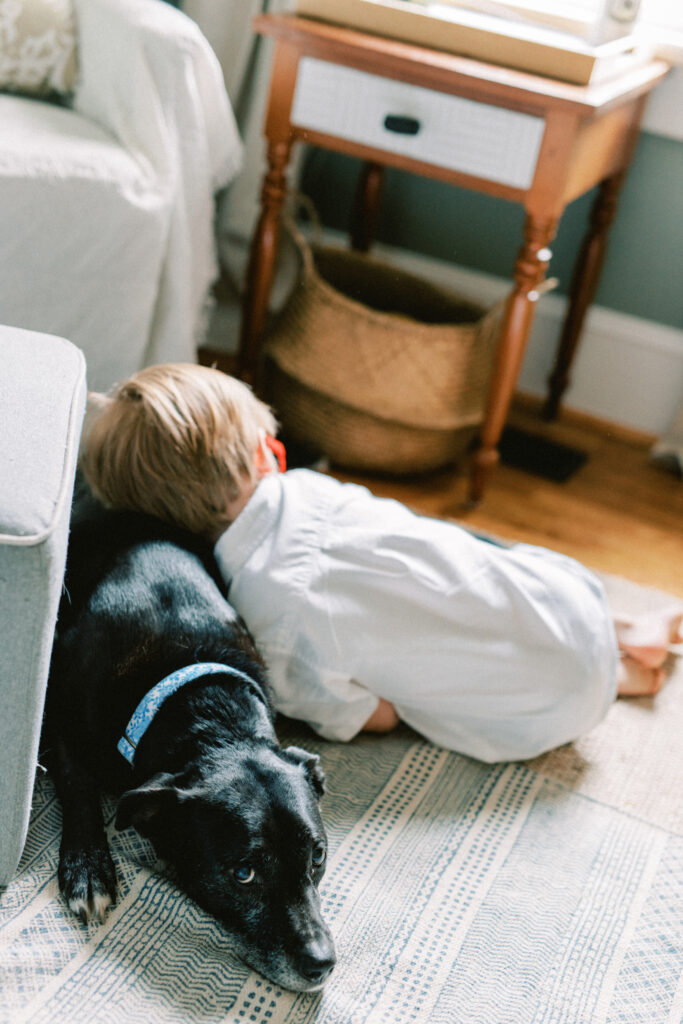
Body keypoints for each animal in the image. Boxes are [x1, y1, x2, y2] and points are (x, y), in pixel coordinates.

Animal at [41, 503, 335, 991]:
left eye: (318, 856)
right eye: (244, 874)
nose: (322, 963)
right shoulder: (57, 702)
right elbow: (75, 779)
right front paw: (87, 868)